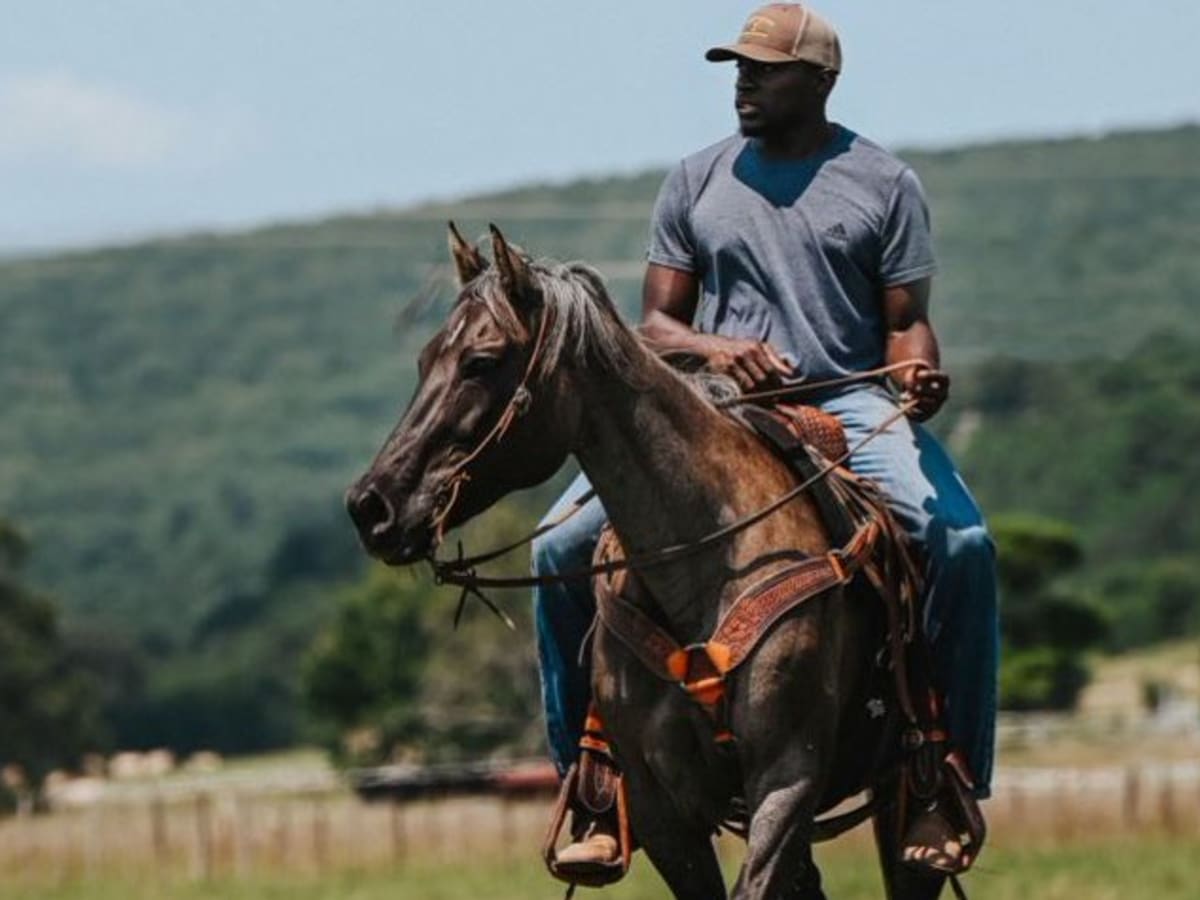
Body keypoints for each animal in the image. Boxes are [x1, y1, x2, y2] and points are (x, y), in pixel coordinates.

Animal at [345, 222, 945, 897]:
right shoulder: (660, 806)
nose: (371, 506)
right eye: (426, 360)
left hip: (896, 793)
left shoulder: (787, 778)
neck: (707, 561)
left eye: (481, 361)